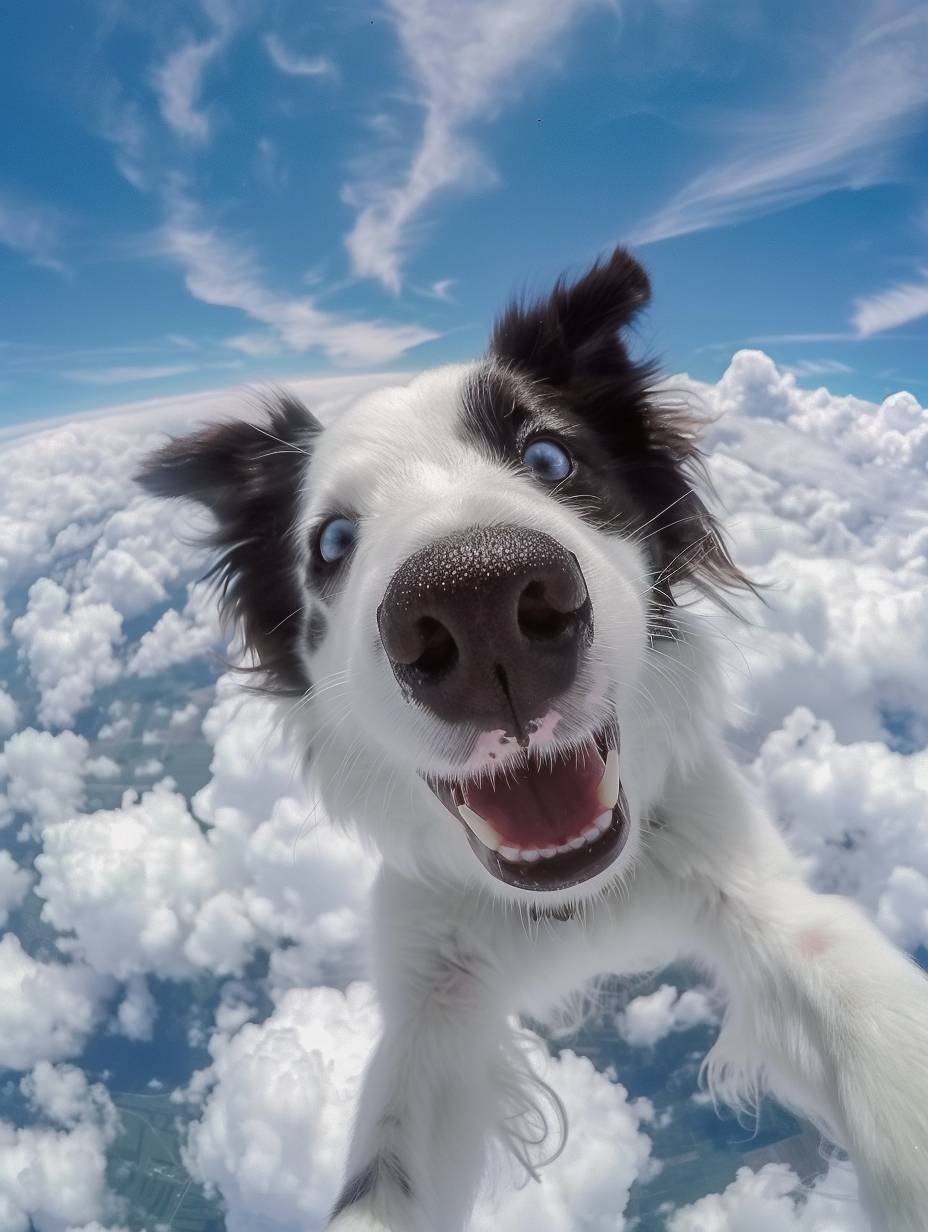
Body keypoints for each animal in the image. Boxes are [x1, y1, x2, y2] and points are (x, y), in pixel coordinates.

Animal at [137, 250, 926, 1232]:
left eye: (549, 456)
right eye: (331, 542)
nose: (479, 603)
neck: (577, 904)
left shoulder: (742, 875)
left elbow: (849, 987)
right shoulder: (431, 996)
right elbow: (386, 1160)